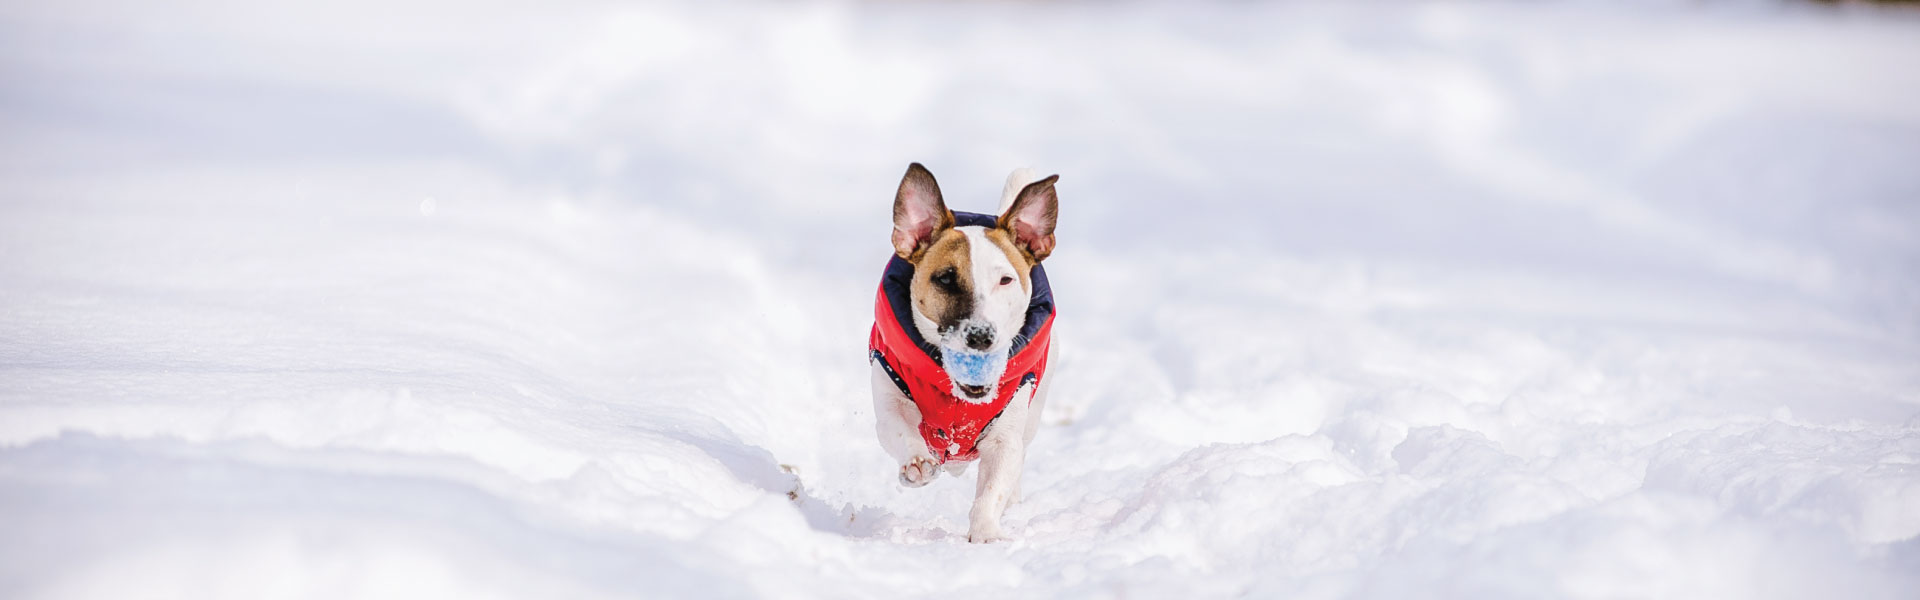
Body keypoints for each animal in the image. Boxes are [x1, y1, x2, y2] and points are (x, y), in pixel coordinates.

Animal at [867, 162, 1059, 542]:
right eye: (945, 278)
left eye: (1005, 280)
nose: (981, 335)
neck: (959, 398)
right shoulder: (889, 396)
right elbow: (900, 428)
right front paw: (916, 463)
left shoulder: (1007, 435)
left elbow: (993, 487)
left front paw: (986, 532)